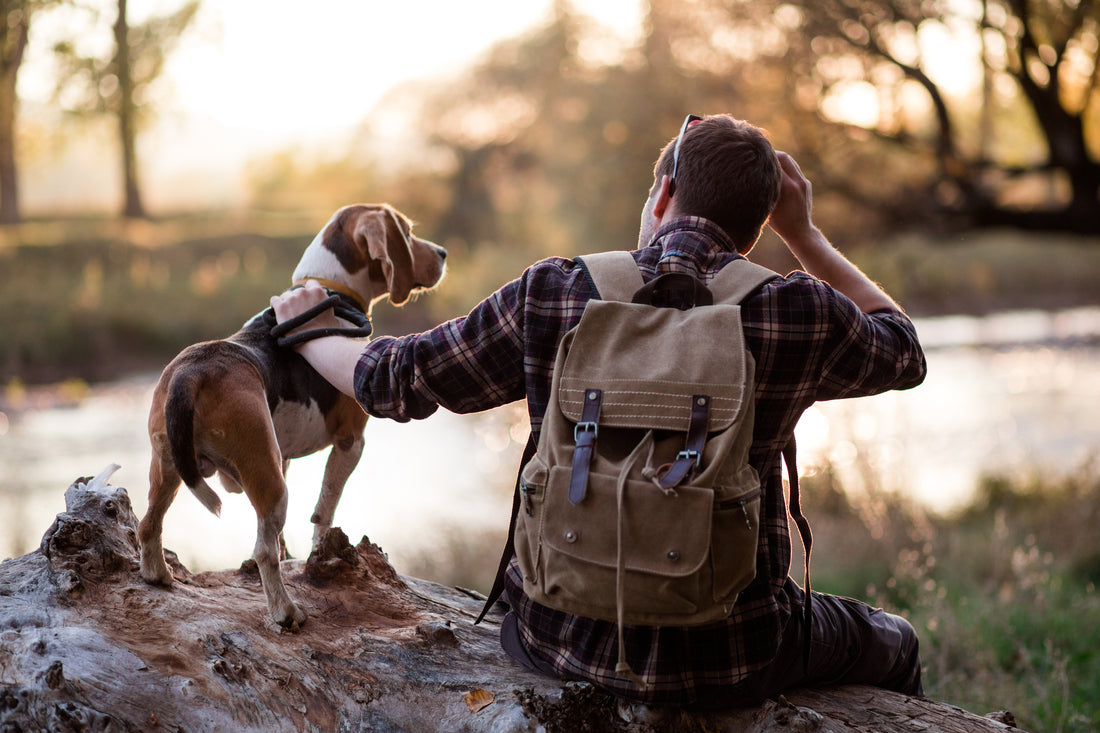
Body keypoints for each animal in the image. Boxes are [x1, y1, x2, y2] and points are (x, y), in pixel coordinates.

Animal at [138, 202, 446, 625]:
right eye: (409, 233)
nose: (444, 253)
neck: (329, 288)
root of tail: (192, 371)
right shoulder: (351, 442)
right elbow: (324, 509)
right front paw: (320, 551)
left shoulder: (282, 456)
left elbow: (285, 538)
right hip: (269, 482)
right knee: (262, 551)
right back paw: (286, 612)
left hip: (170, 466)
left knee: (148, 524)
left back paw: (157, 576)